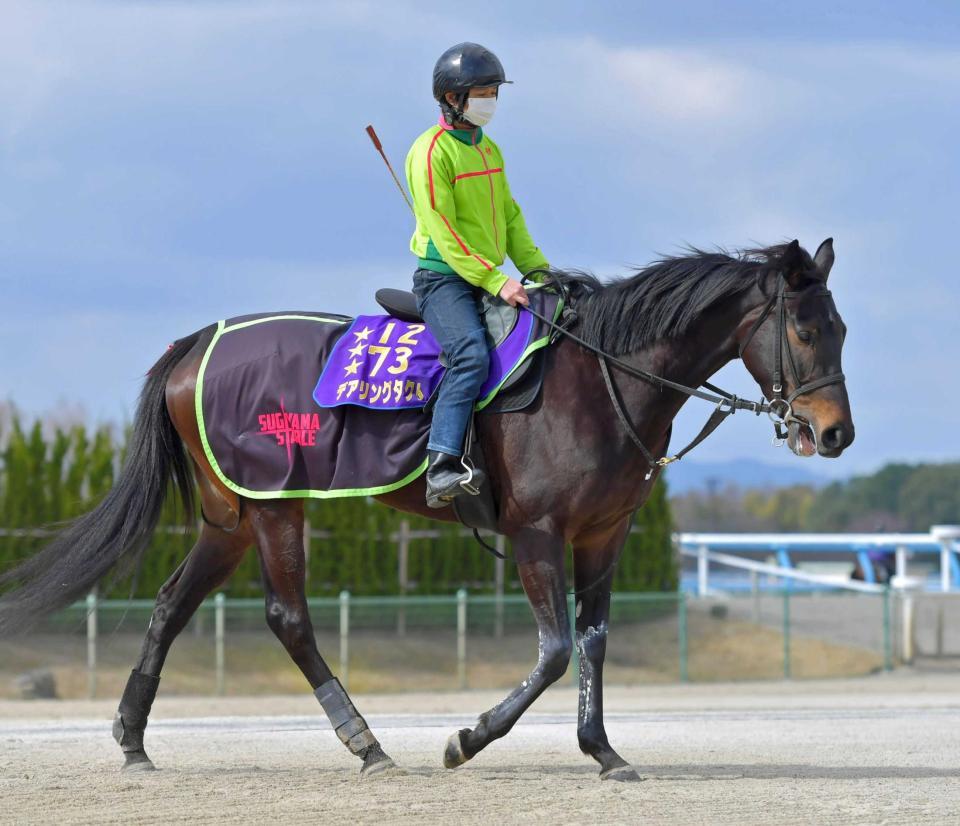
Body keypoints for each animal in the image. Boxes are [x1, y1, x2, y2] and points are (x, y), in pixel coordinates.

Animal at [0, 237, 856, 780]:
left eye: (841, 328)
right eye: (803, 328)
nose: (834, 432)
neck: (601, 375)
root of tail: (196, 342)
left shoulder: (603, 535)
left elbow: (594, 642)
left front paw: (603, 752)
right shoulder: (537, 533)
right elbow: (553, 651)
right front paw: (467, 739)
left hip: (231, 517)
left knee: (172, 605)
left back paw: (133, 740)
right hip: (276, 508)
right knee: (289, 619)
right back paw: (367, 744)